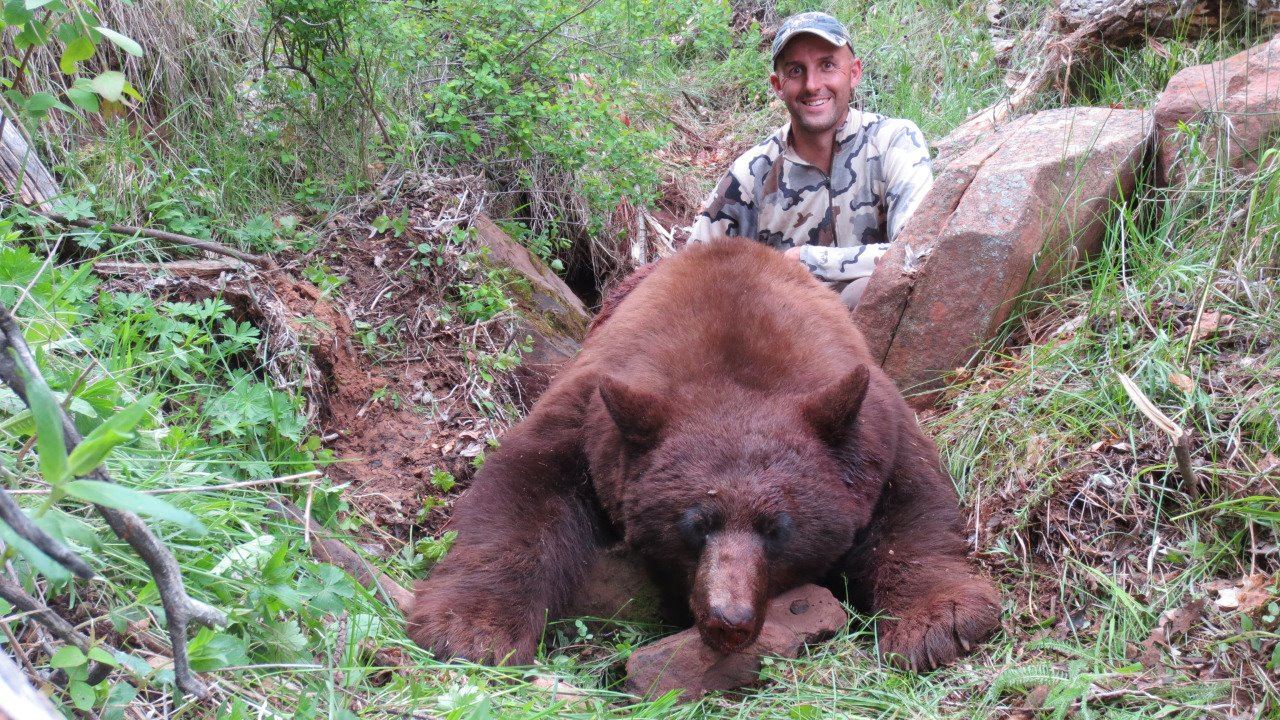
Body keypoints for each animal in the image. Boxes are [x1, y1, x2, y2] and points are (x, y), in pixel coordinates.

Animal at [408, 236, 1000, 670]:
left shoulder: (874, 421)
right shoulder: (594, 410)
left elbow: (913, 506)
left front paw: (940, 622)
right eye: (694, 524)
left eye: (776, 527)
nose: (727, 620)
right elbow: (522, 489)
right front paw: (470, 630)